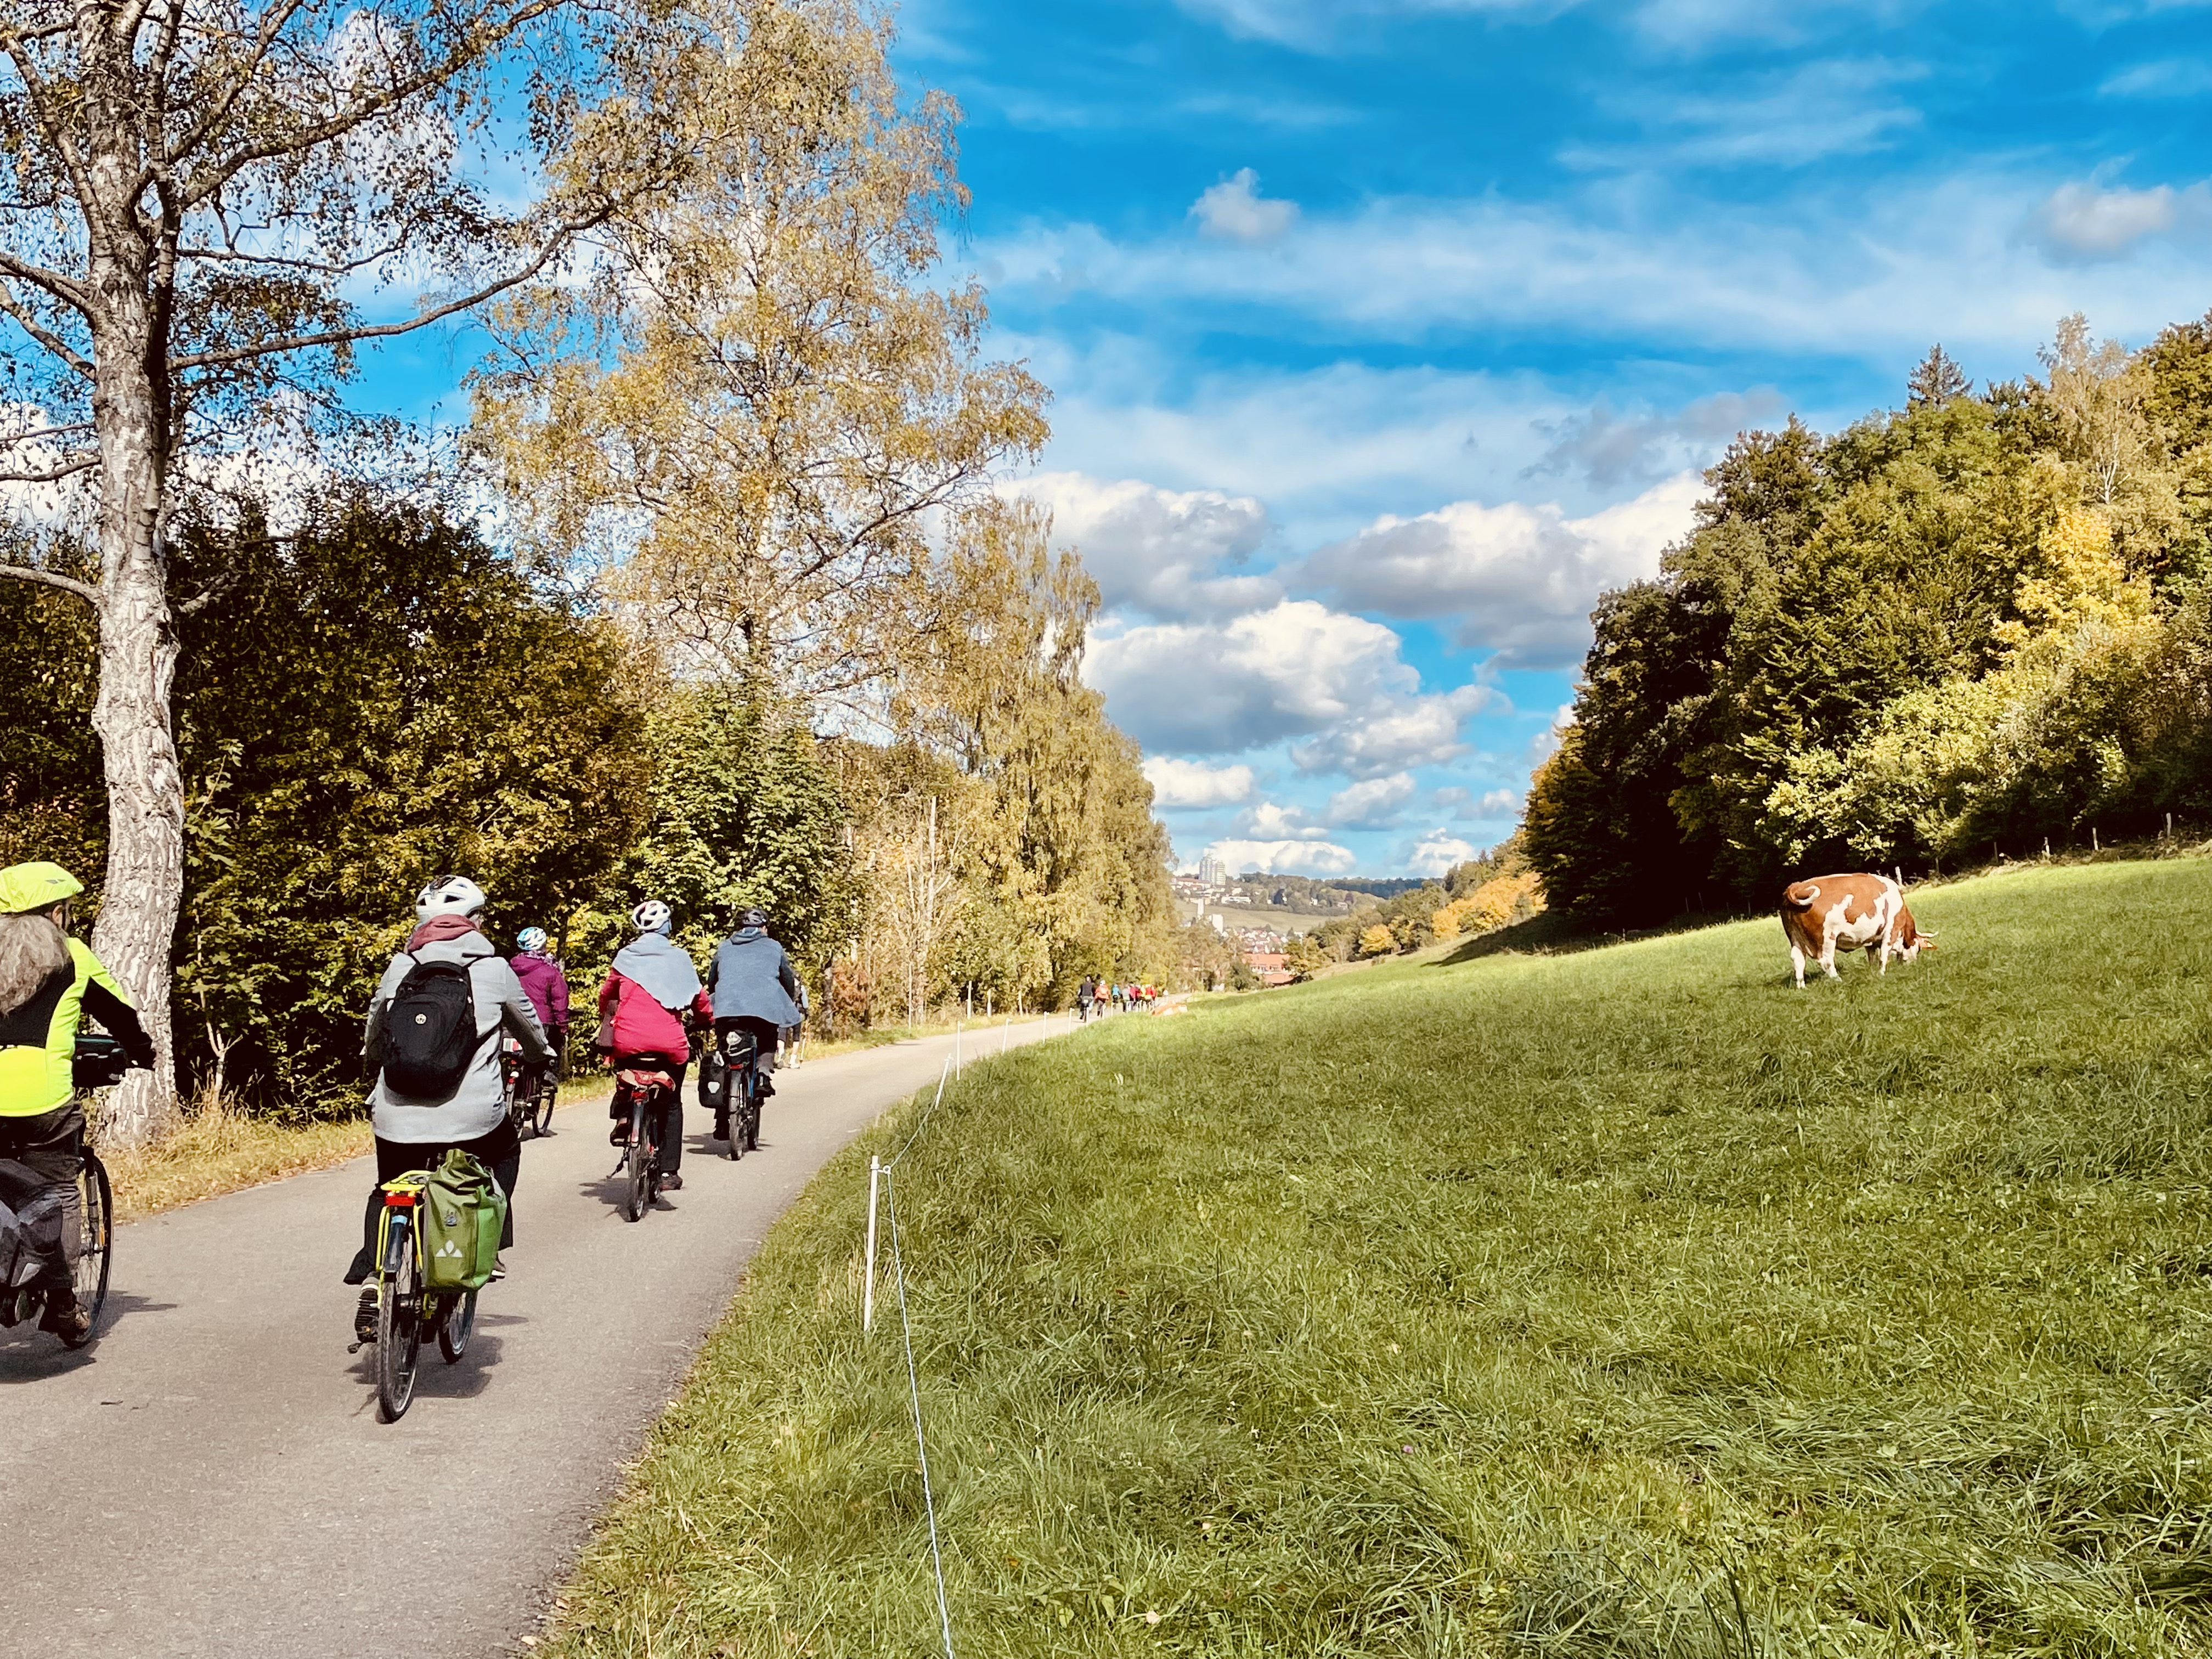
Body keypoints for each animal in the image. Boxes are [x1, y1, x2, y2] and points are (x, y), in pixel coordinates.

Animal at [1778, 876, 1938, 995]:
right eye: (1918, 949)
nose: (1912, 965)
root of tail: (1796, 887)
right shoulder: (1891, 931)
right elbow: (1884, 955)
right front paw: (1882, 974)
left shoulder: (1871, 941)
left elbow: (1872, 956)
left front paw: (1872, 971)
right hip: (1826, 938)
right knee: (1826, 961)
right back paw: (1839, 981)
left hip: (1795, 938)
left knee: (1798, 960)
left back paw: (1802, 987)